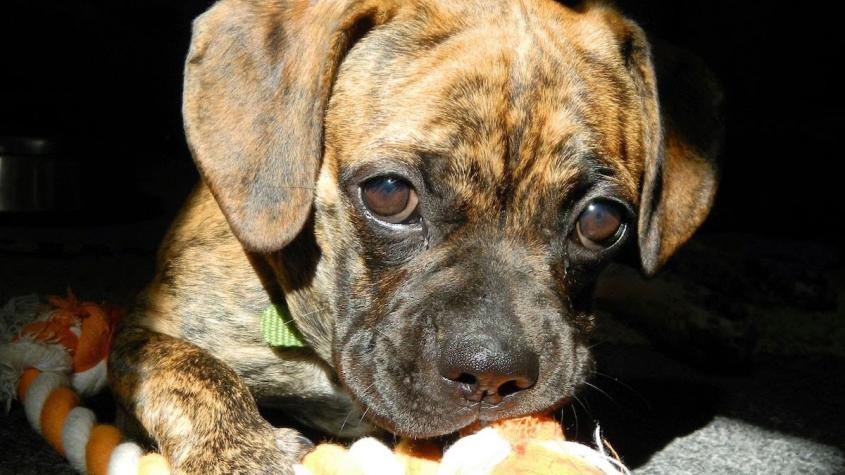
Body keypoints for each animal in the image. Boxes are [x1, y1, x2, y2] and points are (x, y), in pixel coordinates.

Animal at [109, 0, 724, 472]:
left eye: (601, 221)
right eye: (387, 193)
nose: (492, 373)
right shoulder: (146, 331)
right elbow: (191, 372)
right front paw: (245, 453)